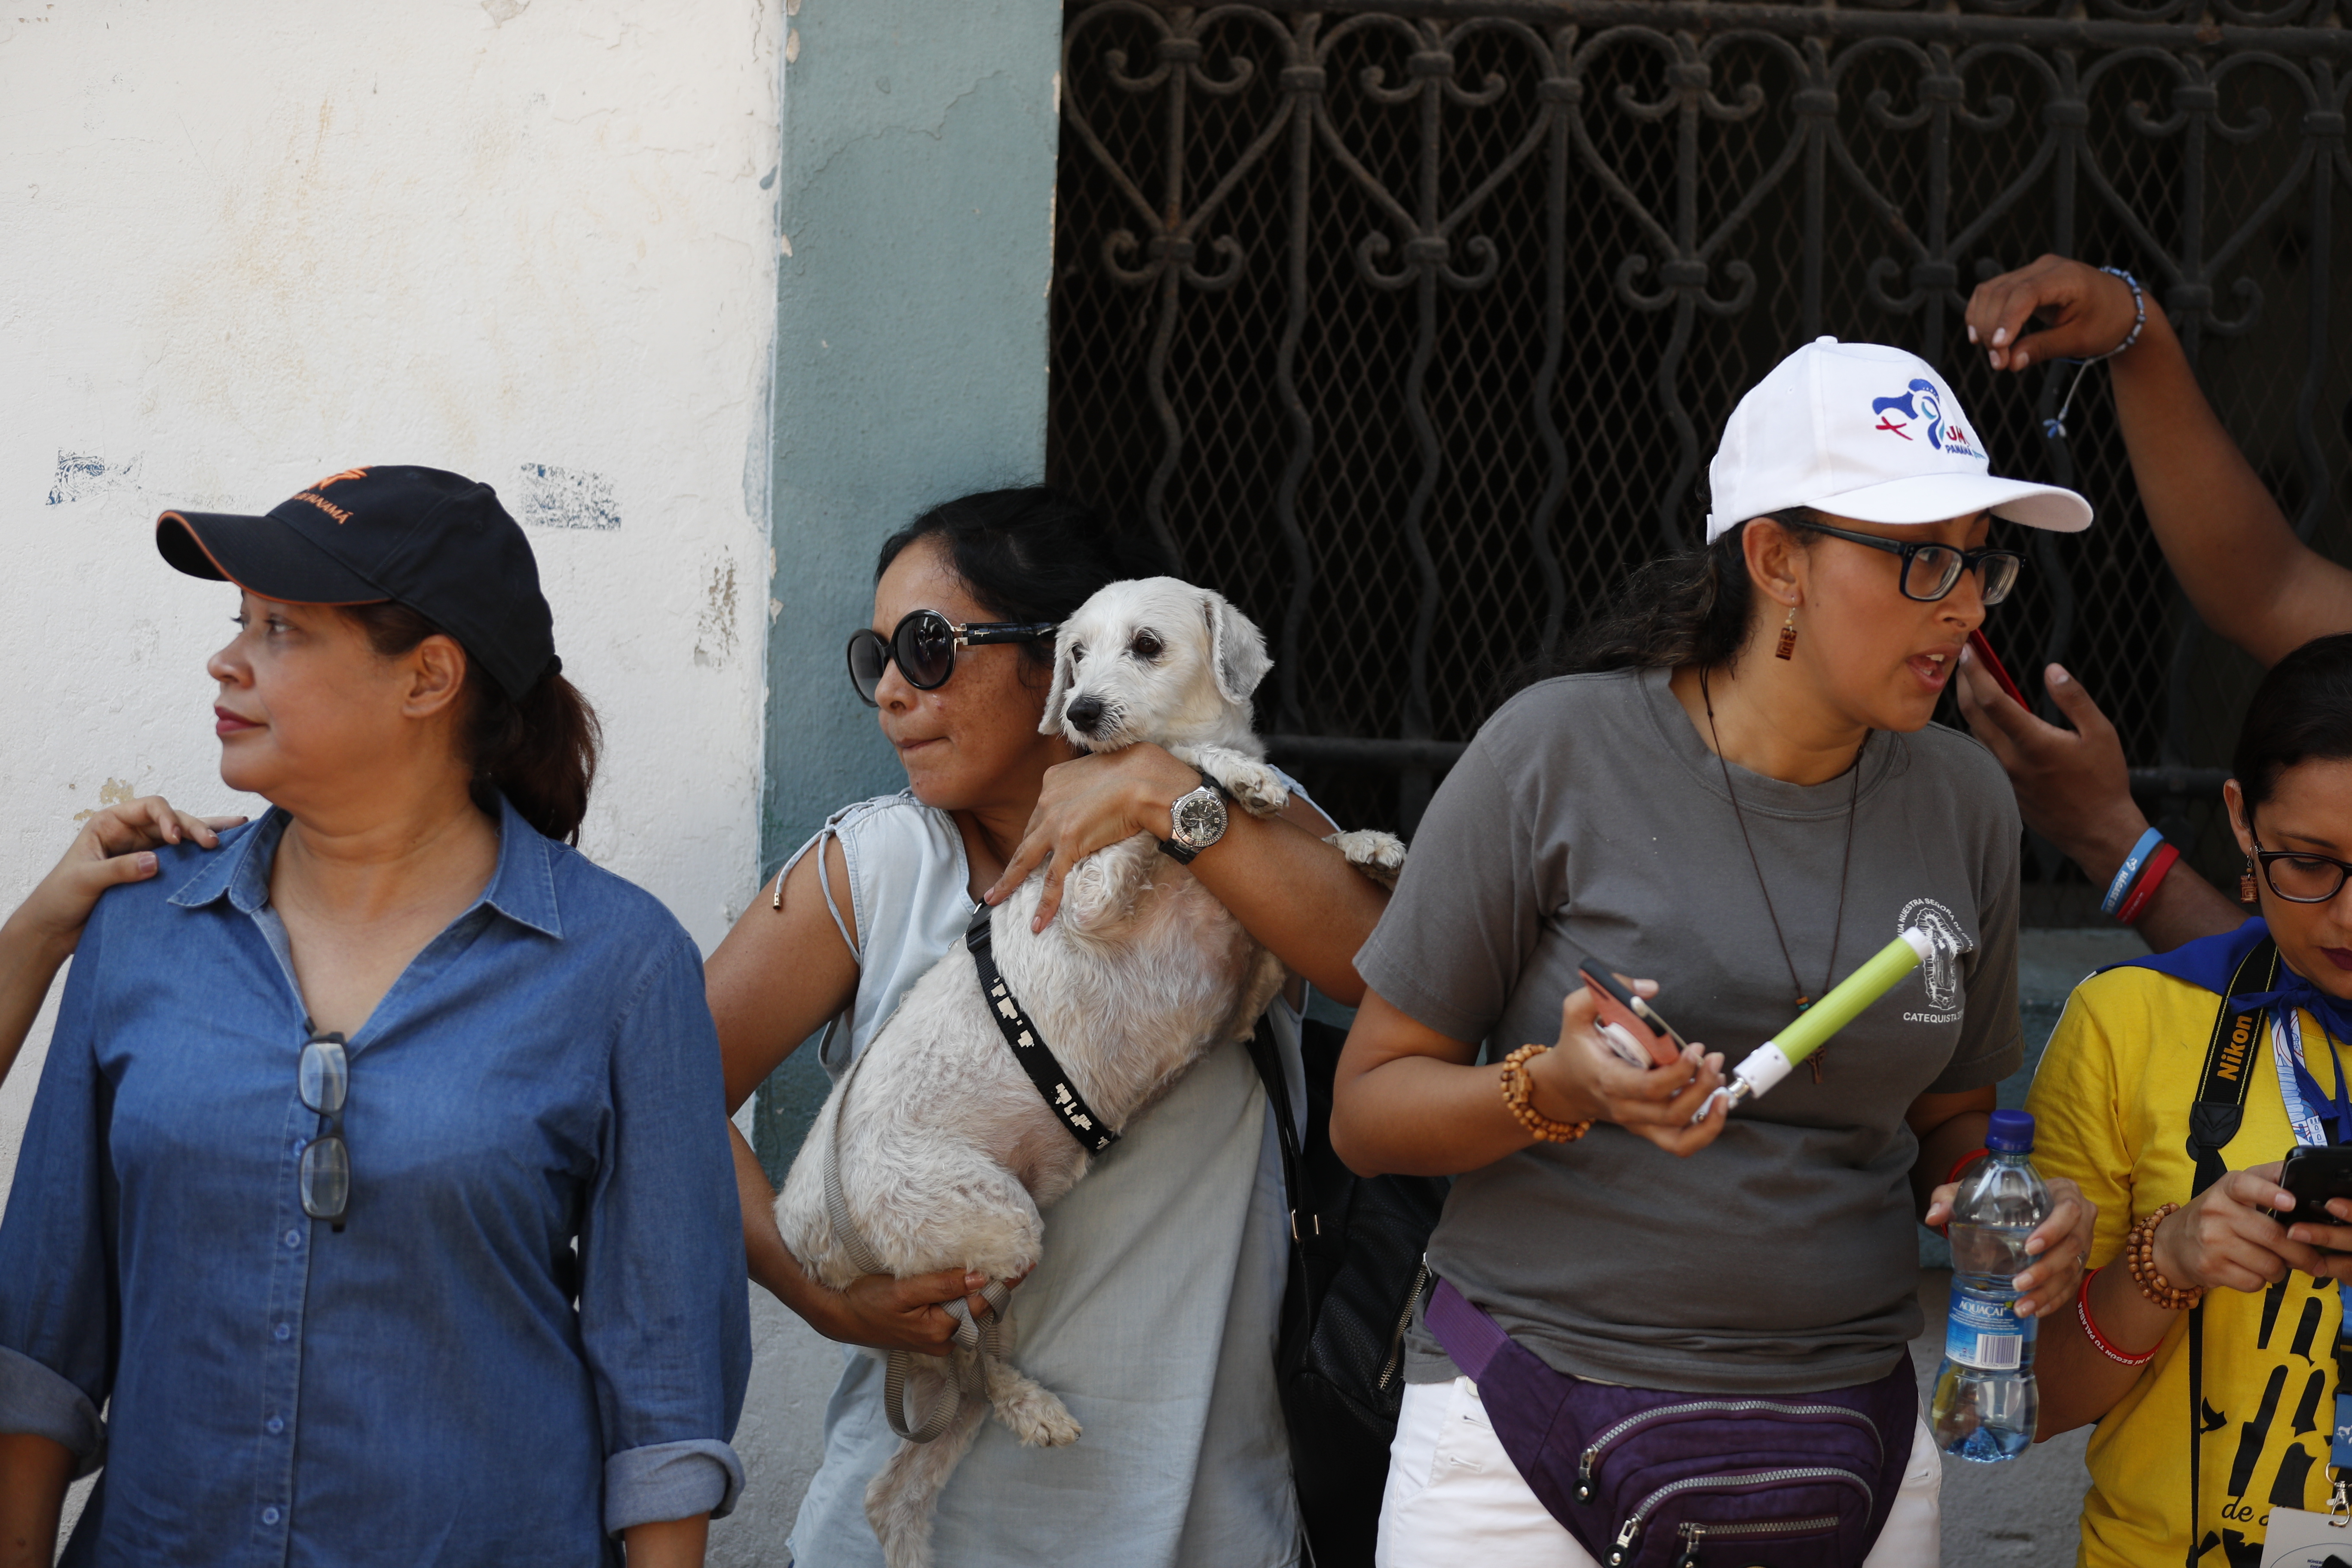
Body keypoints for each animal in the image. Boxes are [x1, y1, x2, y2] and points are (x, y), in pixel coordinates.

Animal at [771, 576, 1402, 1568]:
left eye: (1146, 645)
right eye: (1074, 654)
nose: (1080, 712)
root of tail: (801, 1224)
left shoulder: (1246, 998)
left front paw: (1367, 846)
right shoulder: (1092, 895)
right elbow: (1167, 769)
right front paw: (1236, 776)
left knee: (904, 1475)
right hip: (984, 1226)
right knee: (973, 1361)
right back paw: (1031, 1407)